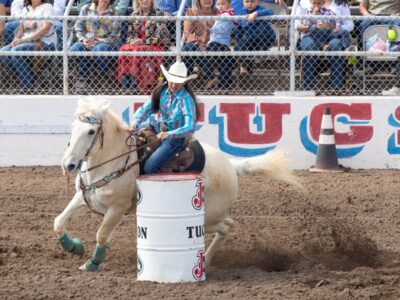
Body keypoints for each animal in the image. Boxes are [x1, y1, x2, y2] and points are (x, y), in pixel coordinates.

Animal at [55, 98, 300, 272]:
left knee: (226, 226)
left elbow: (102, 234)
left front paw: (92, 263)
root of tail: (231, 165)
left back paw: (206, 260)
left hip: (208, 217)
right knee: (227, 225)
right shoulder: (83, 198)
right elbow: (59, 222)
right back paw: (206, 260)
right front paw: (73, 247)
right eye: (73, 126)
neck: (112, 161)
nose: (69, 165)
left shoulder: (116, 208)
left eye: (91, 131)